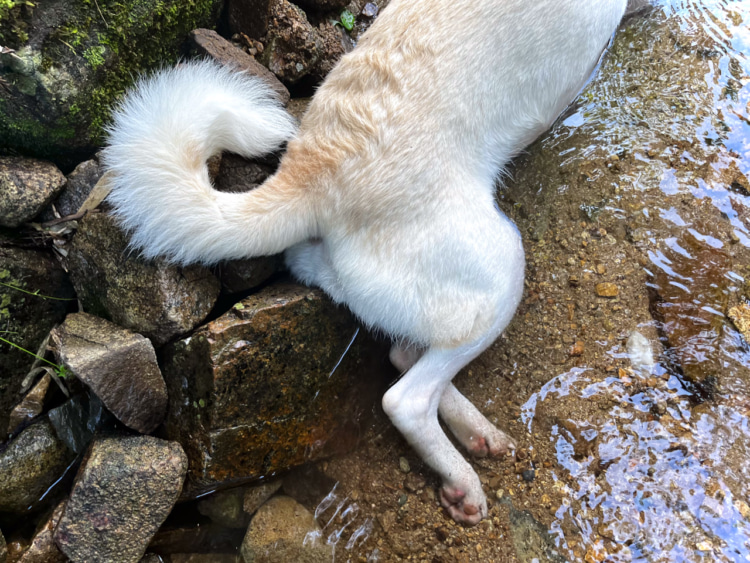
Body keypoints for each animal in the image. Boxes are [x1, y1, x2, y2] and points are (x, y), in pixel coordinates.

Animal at [106, 2, 632, 528]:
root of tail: (314, 175)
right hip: (499, 268)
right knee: (406, 398)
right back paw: (464, 481)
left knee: (402, 353)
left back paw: (478, 435)